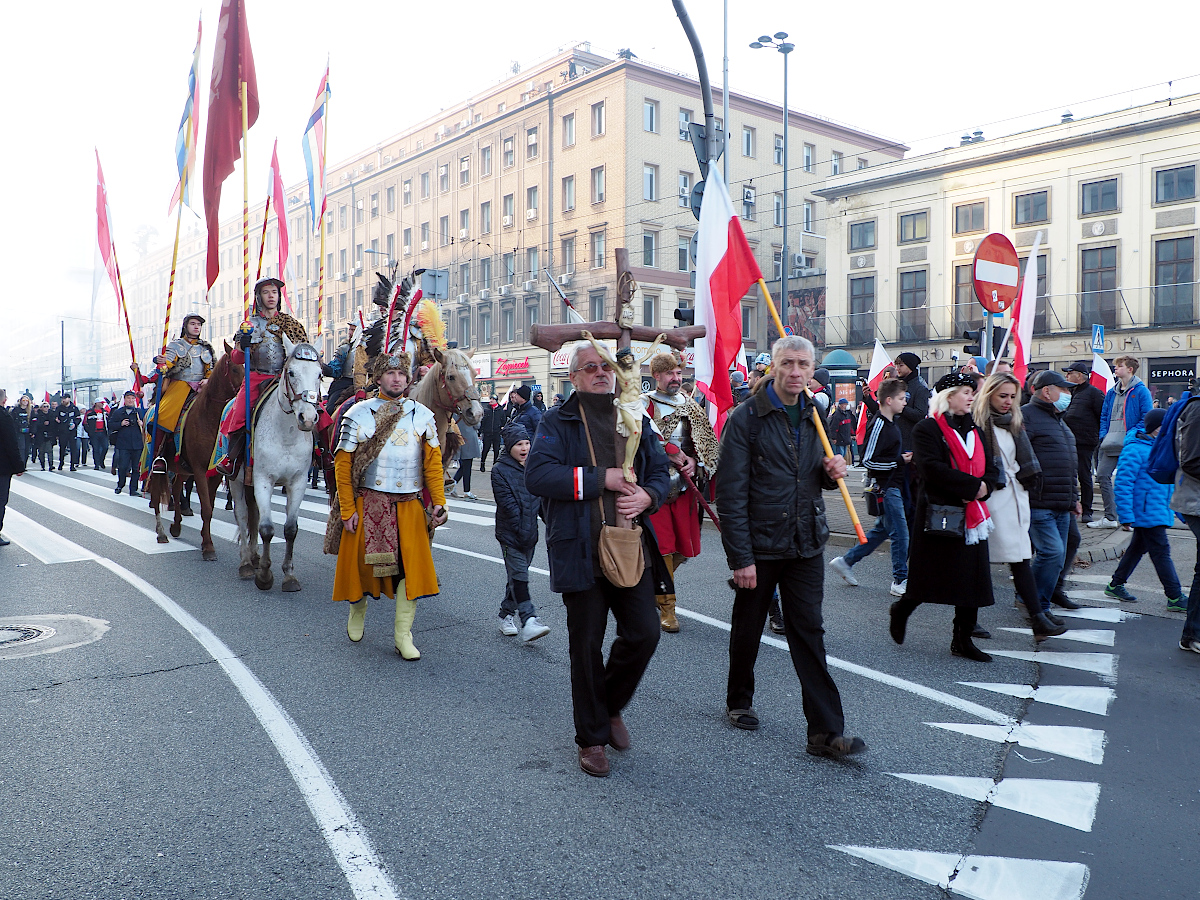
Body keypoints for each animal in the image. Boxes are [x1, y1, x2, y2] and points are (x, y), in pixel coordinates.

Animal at [149, 345, 243, 561]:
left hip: (182, 468)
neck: (210, 417)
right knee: (157, 496)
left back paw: (176, 526)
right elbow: (207, 508)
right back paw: (161, 533)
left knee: (176, 489)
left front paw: (204, 539)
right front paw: (208, 547)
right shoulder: (200, 470)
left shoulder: (214, 472)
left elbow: (209, 506)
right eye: (235, 368)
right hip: (158, 465)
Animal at [228, 337, 323, 593]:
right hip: (237, 480)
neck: (286, 434)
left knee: (253, 517)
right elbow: (267, 528)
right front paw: (264, 575)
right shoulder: (263, 480)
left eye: (320, 374)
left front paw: (289, 575)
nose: (307, 419)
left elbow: (290, 529)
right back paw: (245, 563)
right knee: (243, 515)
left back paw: (254, 556)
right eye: (291, 372)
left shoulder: (298, 482)